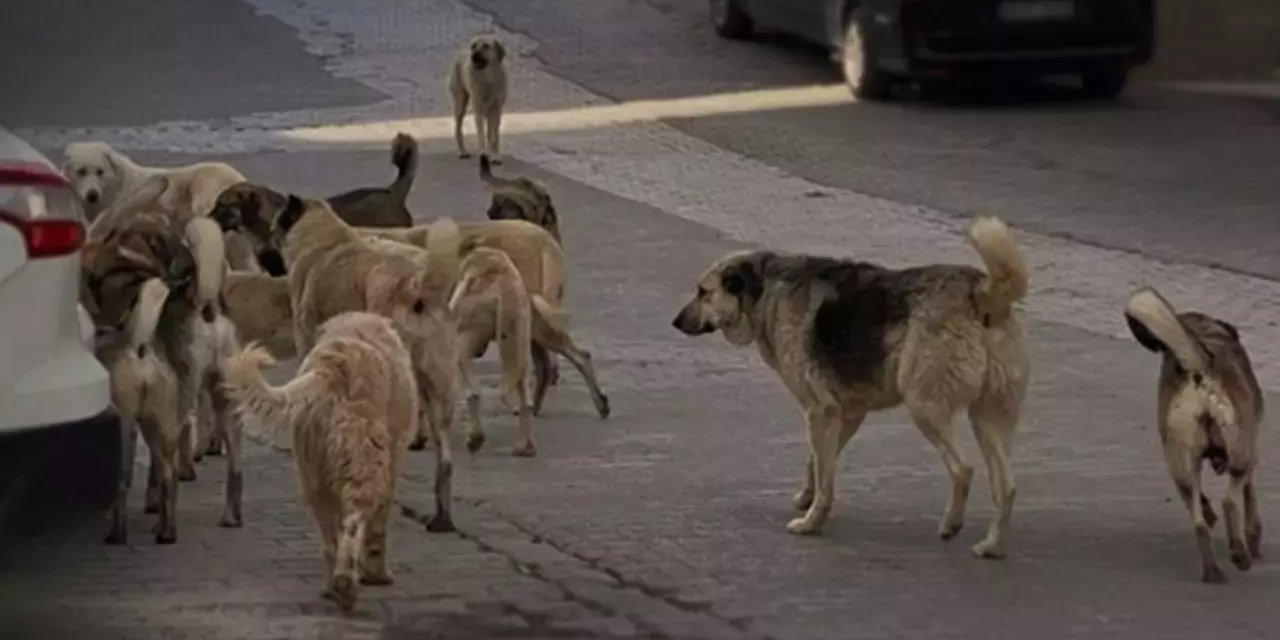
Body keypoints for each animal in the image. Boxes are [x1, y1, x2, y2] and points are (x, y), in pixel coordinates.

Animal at [222, 312, 417, 611]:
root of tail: (332, 368)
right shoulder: (392, 465)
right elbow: (378, 530)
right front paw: (378, 575)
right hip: (365, 463)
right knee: (353, 523)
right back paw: (346, 583)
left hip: (312, 476)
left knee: (330, 539)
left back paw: (332, 587)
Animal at [450, 33, 509, 163]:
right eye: (473, 46)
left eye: (486, 46)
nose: (473, 56)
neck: (489, 78)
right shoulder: (479, 109)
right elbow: (481, 134)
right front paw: (483, 153)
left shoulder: (496, 109)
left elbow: (494, 135)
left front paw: (495, 155)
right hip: (460, 104)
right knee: (458, 129)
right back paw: (463, 151)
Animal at [670, 217, 1029, 558]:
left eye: (703, 292)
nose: (675, 323)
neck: (765, 292)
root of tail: (980, 291)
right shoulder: (847, 413)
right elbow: (818, 464)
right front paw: (808, 498)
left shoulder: (820, 411)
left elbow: (825, 476)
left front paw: (811, 522)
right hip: (988, 419)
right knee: (1007, 485)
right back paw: (992, 546)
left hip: (924, 407)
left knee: (963, 468)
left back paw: (951, 524)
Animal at [1126, 290, 1264, 586]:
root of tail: (1200, 370)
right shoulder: (1251, 451)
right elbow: (1250, 498)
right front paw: (1254, 538)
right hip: (1241, 452)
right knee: (1230, 502)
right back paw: (1240, 554)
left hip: (1181, 464)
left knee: (1199, 522)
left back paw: (1212, 570)